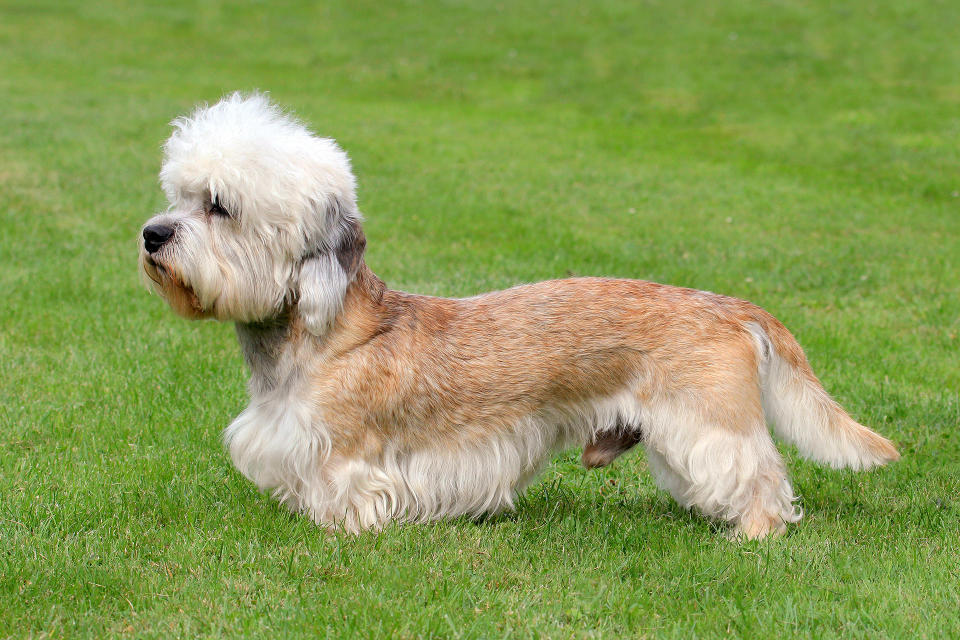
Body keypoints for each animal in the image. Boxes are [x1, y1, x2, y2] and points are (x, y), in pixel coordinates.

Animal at [137, 92, 900, 536]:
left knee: (759, 474)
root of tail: (732, 307)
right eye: (177, 196)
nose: (151, 235)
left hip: (710, 425)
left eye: (219, 206)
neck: (316, 338)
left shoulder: (348, 456)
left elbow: (347, 495)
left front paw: (341, 529)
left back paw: (756, 532)